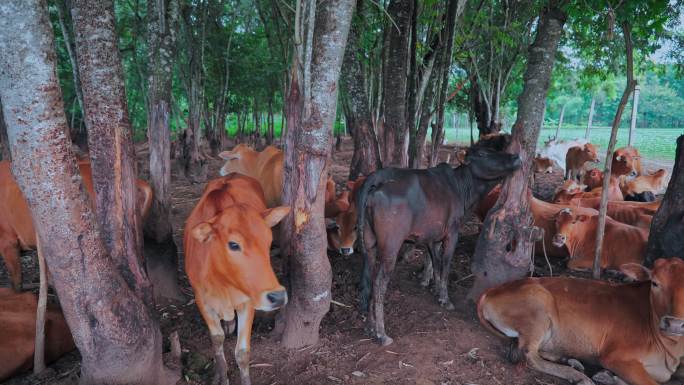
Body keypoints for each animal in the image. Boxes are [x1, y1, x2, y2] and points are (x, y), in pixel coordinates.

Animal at [183, 175, 290, 384]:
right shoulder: (202, 300)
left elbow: (242, 352)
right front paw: (222, 375)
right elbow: (217, 339)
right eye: (233, 245)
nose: (278, 297)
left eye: (268, 241)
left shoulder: (248, 301)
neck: (222, 283)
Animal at [356, 137, 520, 344]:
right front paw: (445, 298)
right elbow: (446, 264)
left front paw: (435, 291)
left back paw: (370, 326)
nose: (515, 157)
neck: (462, 188)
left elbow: (435, 261)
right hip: (391, 244)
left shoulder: (432, 236)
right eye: (483, 153)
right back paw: (381, 333)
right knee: (378, 283)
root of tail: (375, 180)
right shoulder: (452, 231)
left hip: (369, 241)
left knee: (369, 278)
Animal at [478, 256, 684, 384]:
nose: (674, 323)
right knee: (528, 354)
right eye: (655, 283)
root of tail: (491, 290)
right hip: (539, 307)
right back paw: (577, 376)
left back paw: (570, 360)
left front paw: (609, 377)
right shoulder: (617, 357)